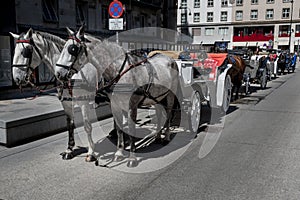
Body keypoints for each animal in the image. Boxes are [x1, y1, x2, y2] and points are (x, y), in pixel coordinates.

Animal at [10, 28, 98, 162]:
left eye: (26, 52)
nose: (16, 78)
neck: (73, 75)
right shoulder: (66, 103)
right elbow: (70, 125)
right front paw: (69, 150)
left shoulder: (84, 103)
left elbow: (87, 126)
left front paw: (91, 152)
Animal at [54, 26, 178, 167]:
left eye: (72, 49)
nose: (58, 73)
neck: (120, 71)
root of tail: (169, 58)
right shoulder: (115, 105)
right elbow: (119, 129)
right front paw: (119, 153)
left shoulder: (131, 106)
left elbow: (131, 129)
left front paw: (132, 158)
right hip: (156, 97)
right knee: (159, 114)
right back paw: (157, 136)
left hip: (170, 95)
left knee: (168, 114)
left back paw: (166, 136)